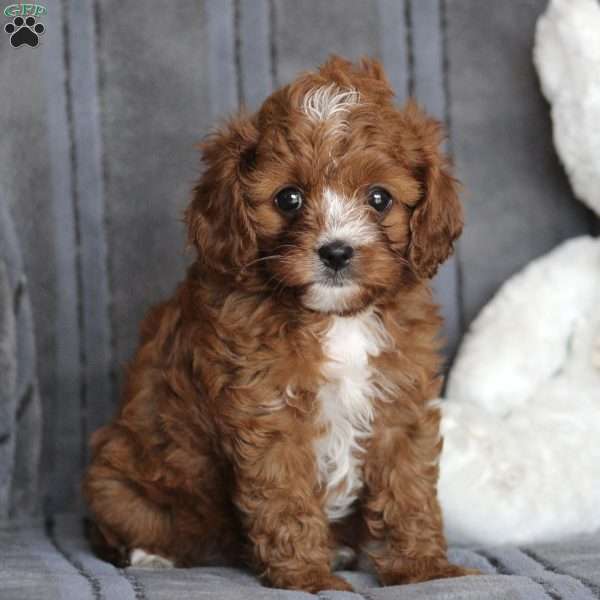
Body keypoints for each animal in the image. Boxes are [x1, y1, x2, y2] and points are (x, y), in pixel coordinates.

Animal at [84, 55, 476, 592]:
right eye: (288, 198)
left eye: (379, 199)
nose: (336, 252)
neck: (336, 318)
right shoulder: (269, 412)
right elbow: (284, 498)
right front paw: (308, 577)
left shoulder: (399, 402)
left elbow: (408, 487)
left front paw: (424, 568)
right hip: (118, 481)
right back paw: (152, 554)